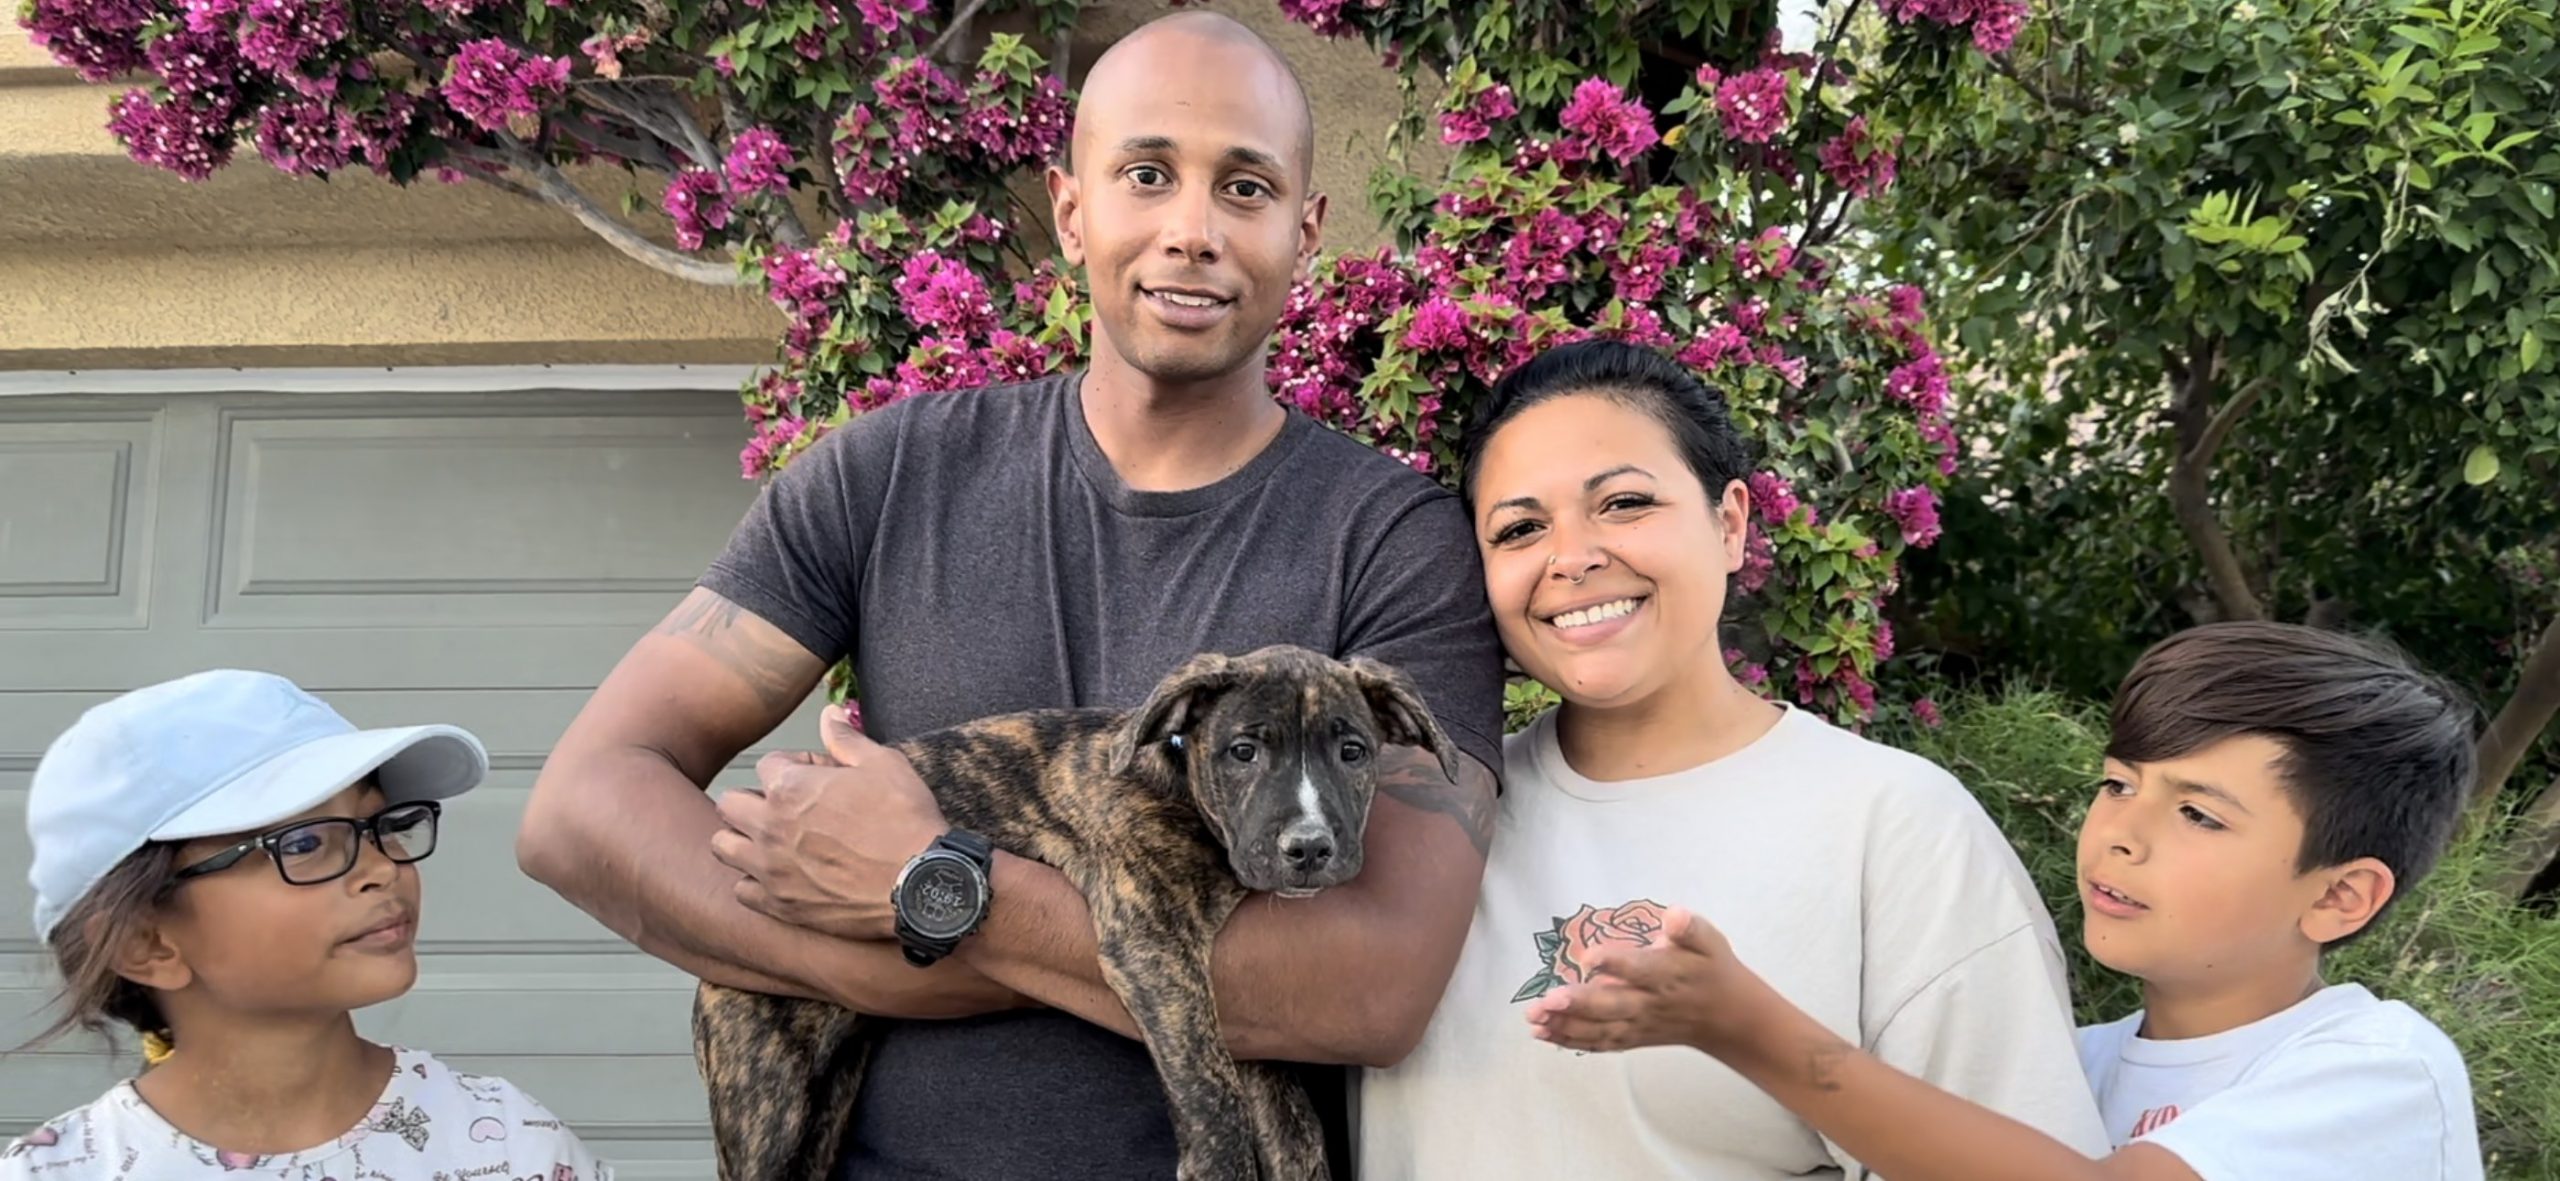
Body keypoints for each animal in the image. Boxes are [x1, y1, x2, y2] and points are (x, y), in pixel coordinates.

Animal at [691, 645, 1454, 1178]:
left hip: (829, 1099)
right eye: (1243, 750)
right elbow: (1212, 1093)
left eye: (1353, 751)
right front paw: (1216, 1164)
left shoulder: (1240, 1004)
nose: (1310, 848)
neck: (1179, 786)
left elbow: (1293, 1123)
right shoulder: (1152, 949)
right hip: (765, 1099)